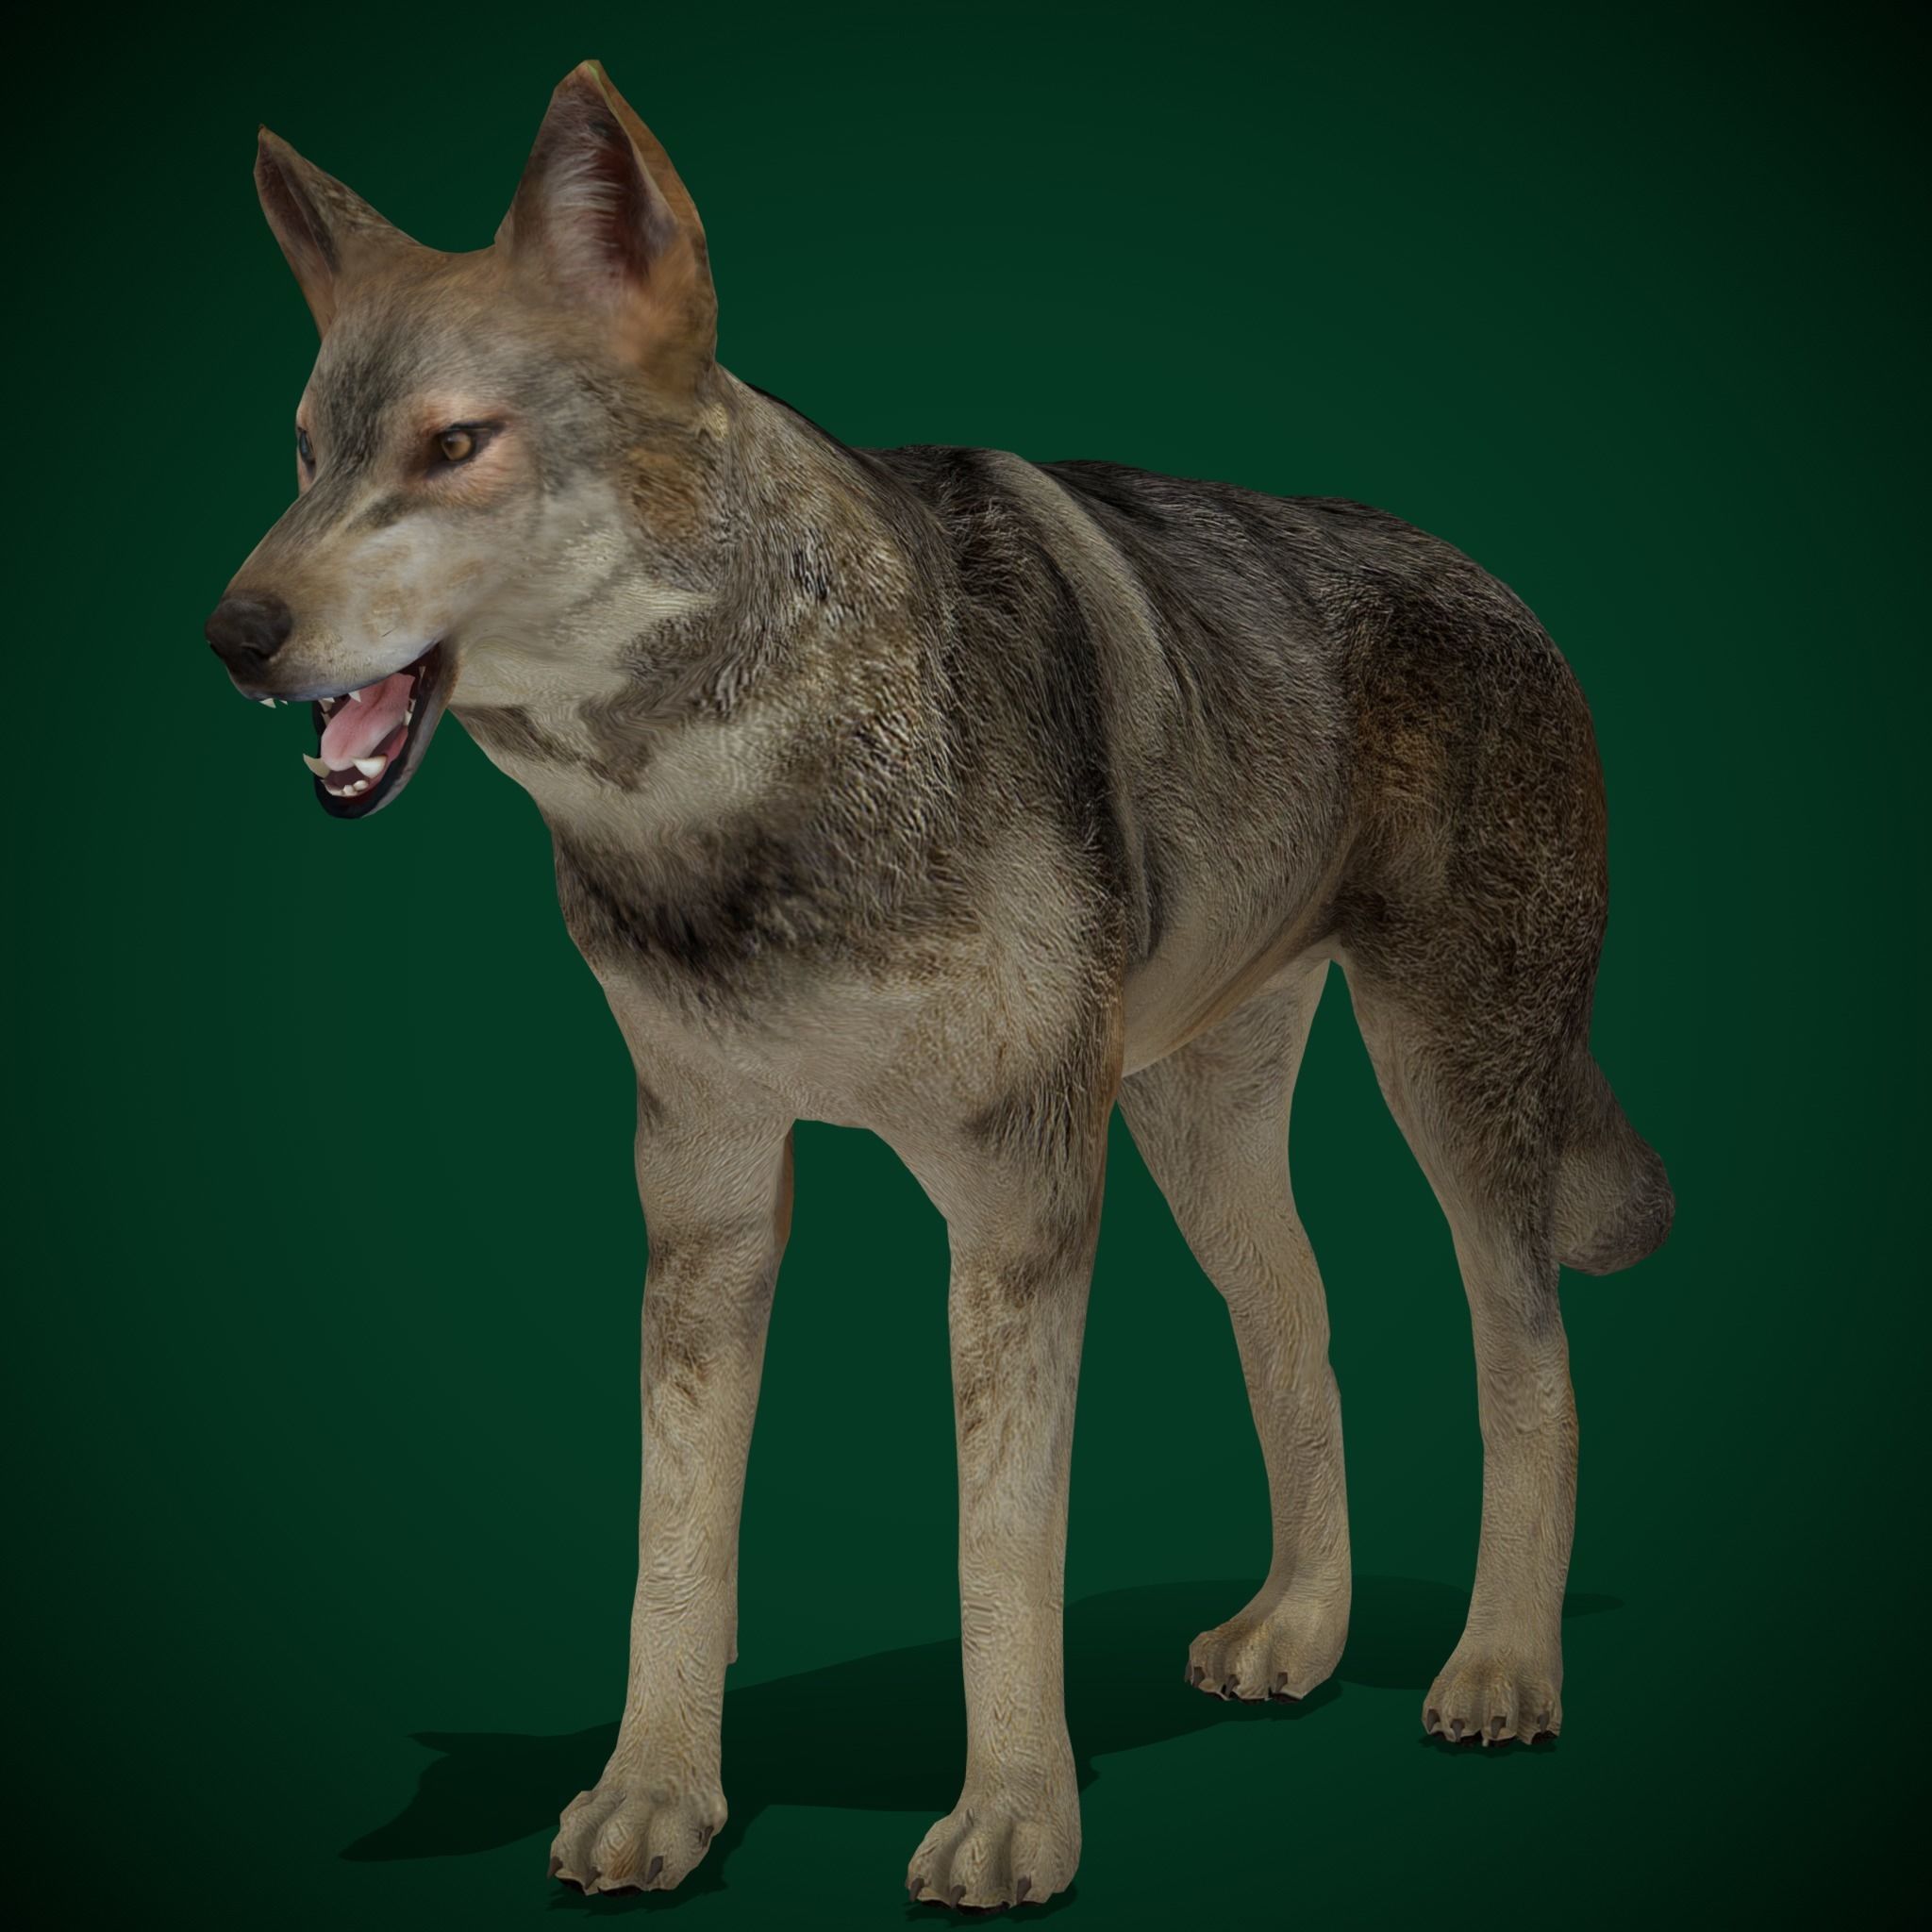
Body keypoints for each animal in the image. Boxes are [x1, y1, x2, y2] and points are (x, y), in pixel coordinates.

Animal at [206, 61, 1674, 1907]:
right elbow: (672, 1546)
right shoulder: (703, 1190)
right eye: (305, 457)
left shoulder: (1016, 1197)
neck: (751, 792)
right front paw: (655, 1796)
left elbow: (999, 1549)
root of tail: (1511, 597)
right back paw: (1299, 1631)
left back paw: (1498, 1671)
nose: (231, 634)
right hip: (1200, 1128)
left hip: (1448, 1090)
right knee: (1300, 1325)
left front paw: (1011, 1820)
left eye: (454, 446)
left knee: (1529, 1362)